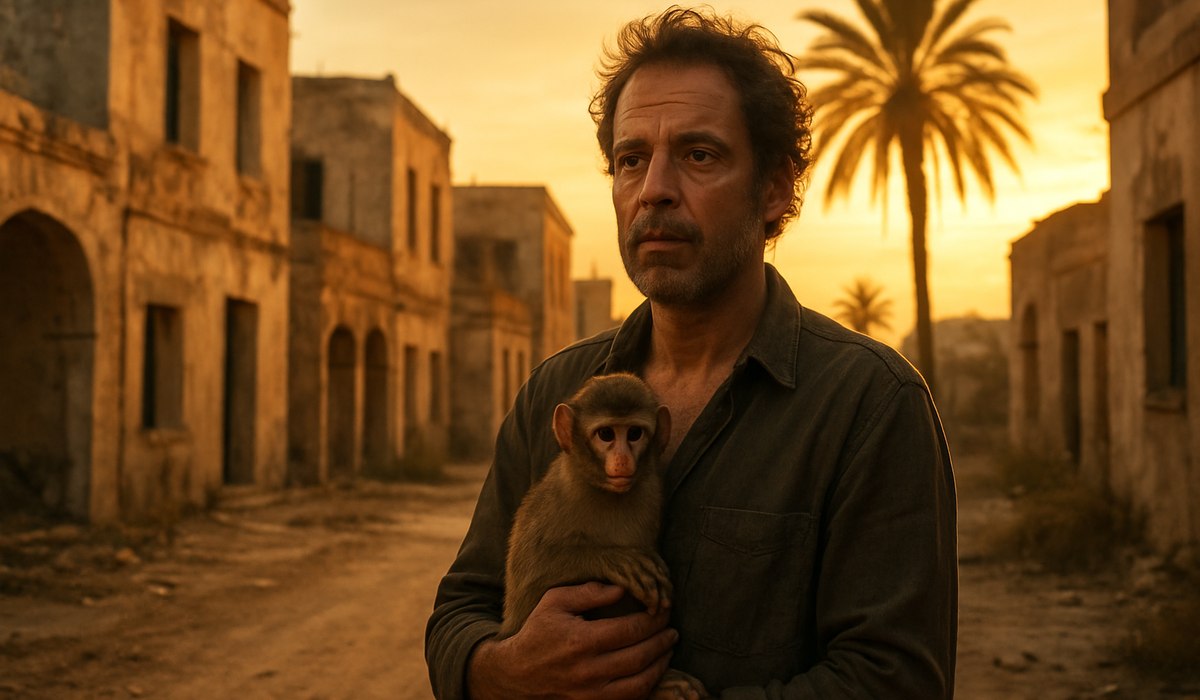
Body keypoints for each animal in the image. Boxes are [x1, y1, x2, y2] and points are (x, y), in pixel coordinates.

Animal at [499, 372, 707, 698]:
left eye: (634, 433)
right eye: (607, 434)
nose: (622, 459)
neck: (602, 490)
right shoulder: (551, 500)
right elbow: (529, 580)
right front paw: (616, 560)